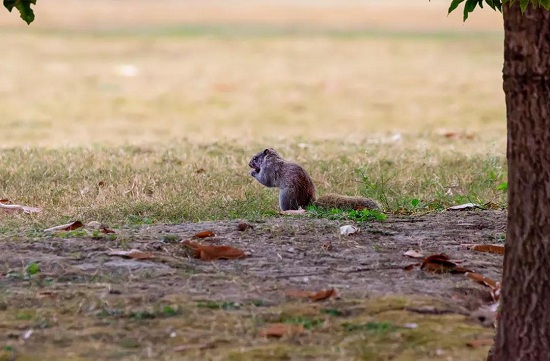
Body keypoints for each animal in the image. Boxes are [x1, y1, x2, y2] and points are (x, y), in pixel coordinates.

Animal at [249, 148, 382, 211]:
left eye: (255, 158)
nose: (249, 164)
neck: (272, 158)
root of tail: (308, 204)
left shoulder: (270, 169)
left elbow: (266, 180)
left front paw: (253, 173)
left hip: (286, 197)